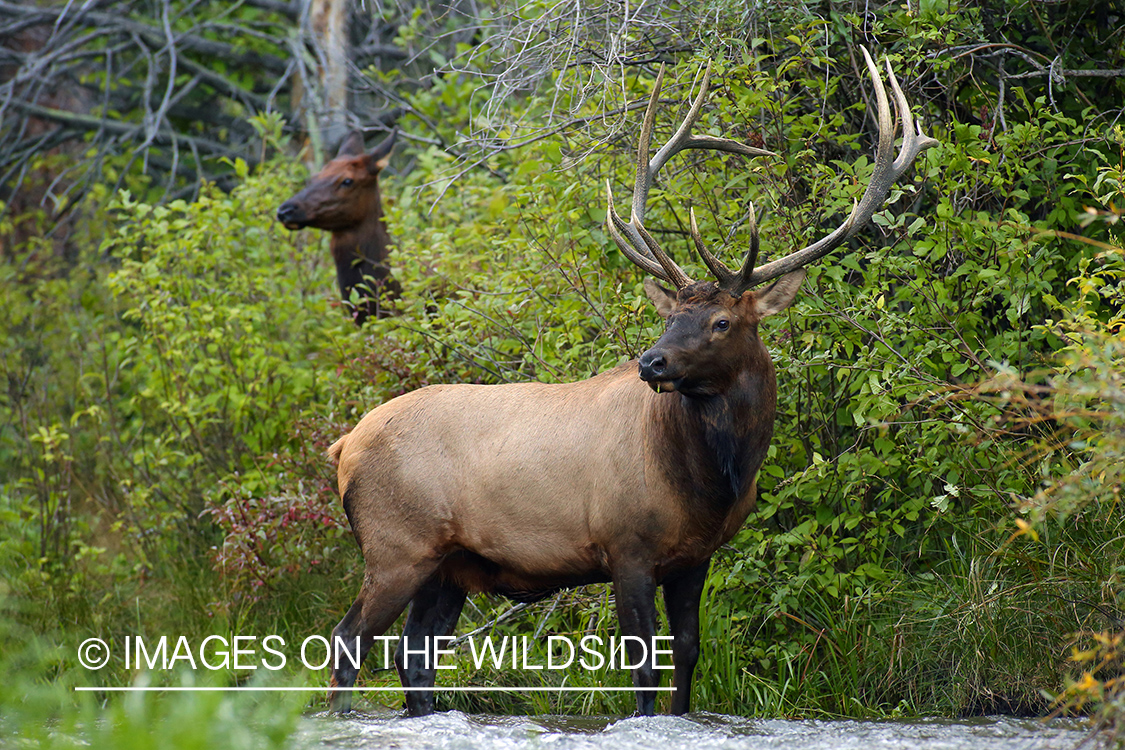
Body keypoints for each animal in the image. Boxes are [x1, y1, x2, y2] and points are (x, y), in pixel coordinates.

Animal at [321, 49, 936, 719]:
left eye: (722, 322)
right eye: (670, 317)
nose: (652, 363)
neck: (709, 482)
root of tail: (343, 445)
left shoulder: (696, 557)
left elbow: (687, 655)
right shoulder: (626, 545)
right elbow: (642, 667)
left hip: (450, 565)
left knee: (415, 656)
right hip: (396, 544)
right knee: (347, 639)